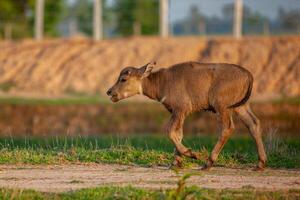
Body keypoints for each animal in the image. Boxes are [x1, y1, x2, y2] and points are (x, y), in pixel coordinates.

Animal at [106, 61, 266, 170]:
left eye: (123, 79)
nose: (109, 92)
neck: (162, 82)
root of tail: (248, 74)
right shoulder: (179, 113)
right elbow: (179, 134)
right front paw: (176, 162)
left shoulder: (180, 109)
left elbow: (170, 131)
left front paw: (191, 154)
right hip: (241, 106)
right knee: (254, 123)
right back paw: (260, 164)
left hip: (222, 107)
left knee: (227, 128)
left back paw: (207, 163)